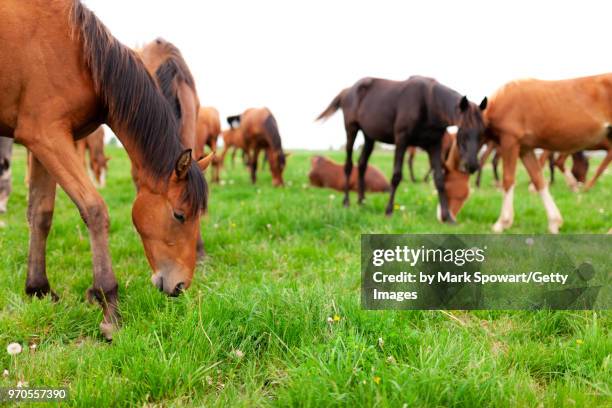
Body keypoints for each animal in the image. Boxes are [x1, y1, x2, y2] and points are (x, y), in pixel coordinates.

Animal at [0, 0, 213, 338]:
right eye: (179, 215)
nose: (181, 285)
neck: (77, 51)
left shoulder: (39, 142)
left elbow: (41, 214)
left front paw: (38, 289)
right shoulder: (47, 136)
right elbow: (95, 209)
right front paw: (110, 306)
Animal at [318, 76, 486, 223]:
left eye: (482, 133)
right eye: (463, 131)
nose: (472, 166)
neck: (429, 103)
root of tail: (347, 91)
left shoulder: (434, 145)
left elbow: (439, 178)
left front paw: (448, 217)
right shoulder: (402, 141)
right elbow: (396, 176)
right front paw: (389, 211)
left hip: (369, 136)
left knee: (362, 164)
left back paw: (362, 201)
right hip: (351, 130)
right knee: (348, 165)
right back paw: (346, 202)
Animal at [486, 73, 612, 233]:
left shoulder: (510, 141)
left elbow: (508, 180)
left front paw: (502, 223)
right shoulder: (525, 149)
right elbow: (538, 180)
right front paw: (554, 222)